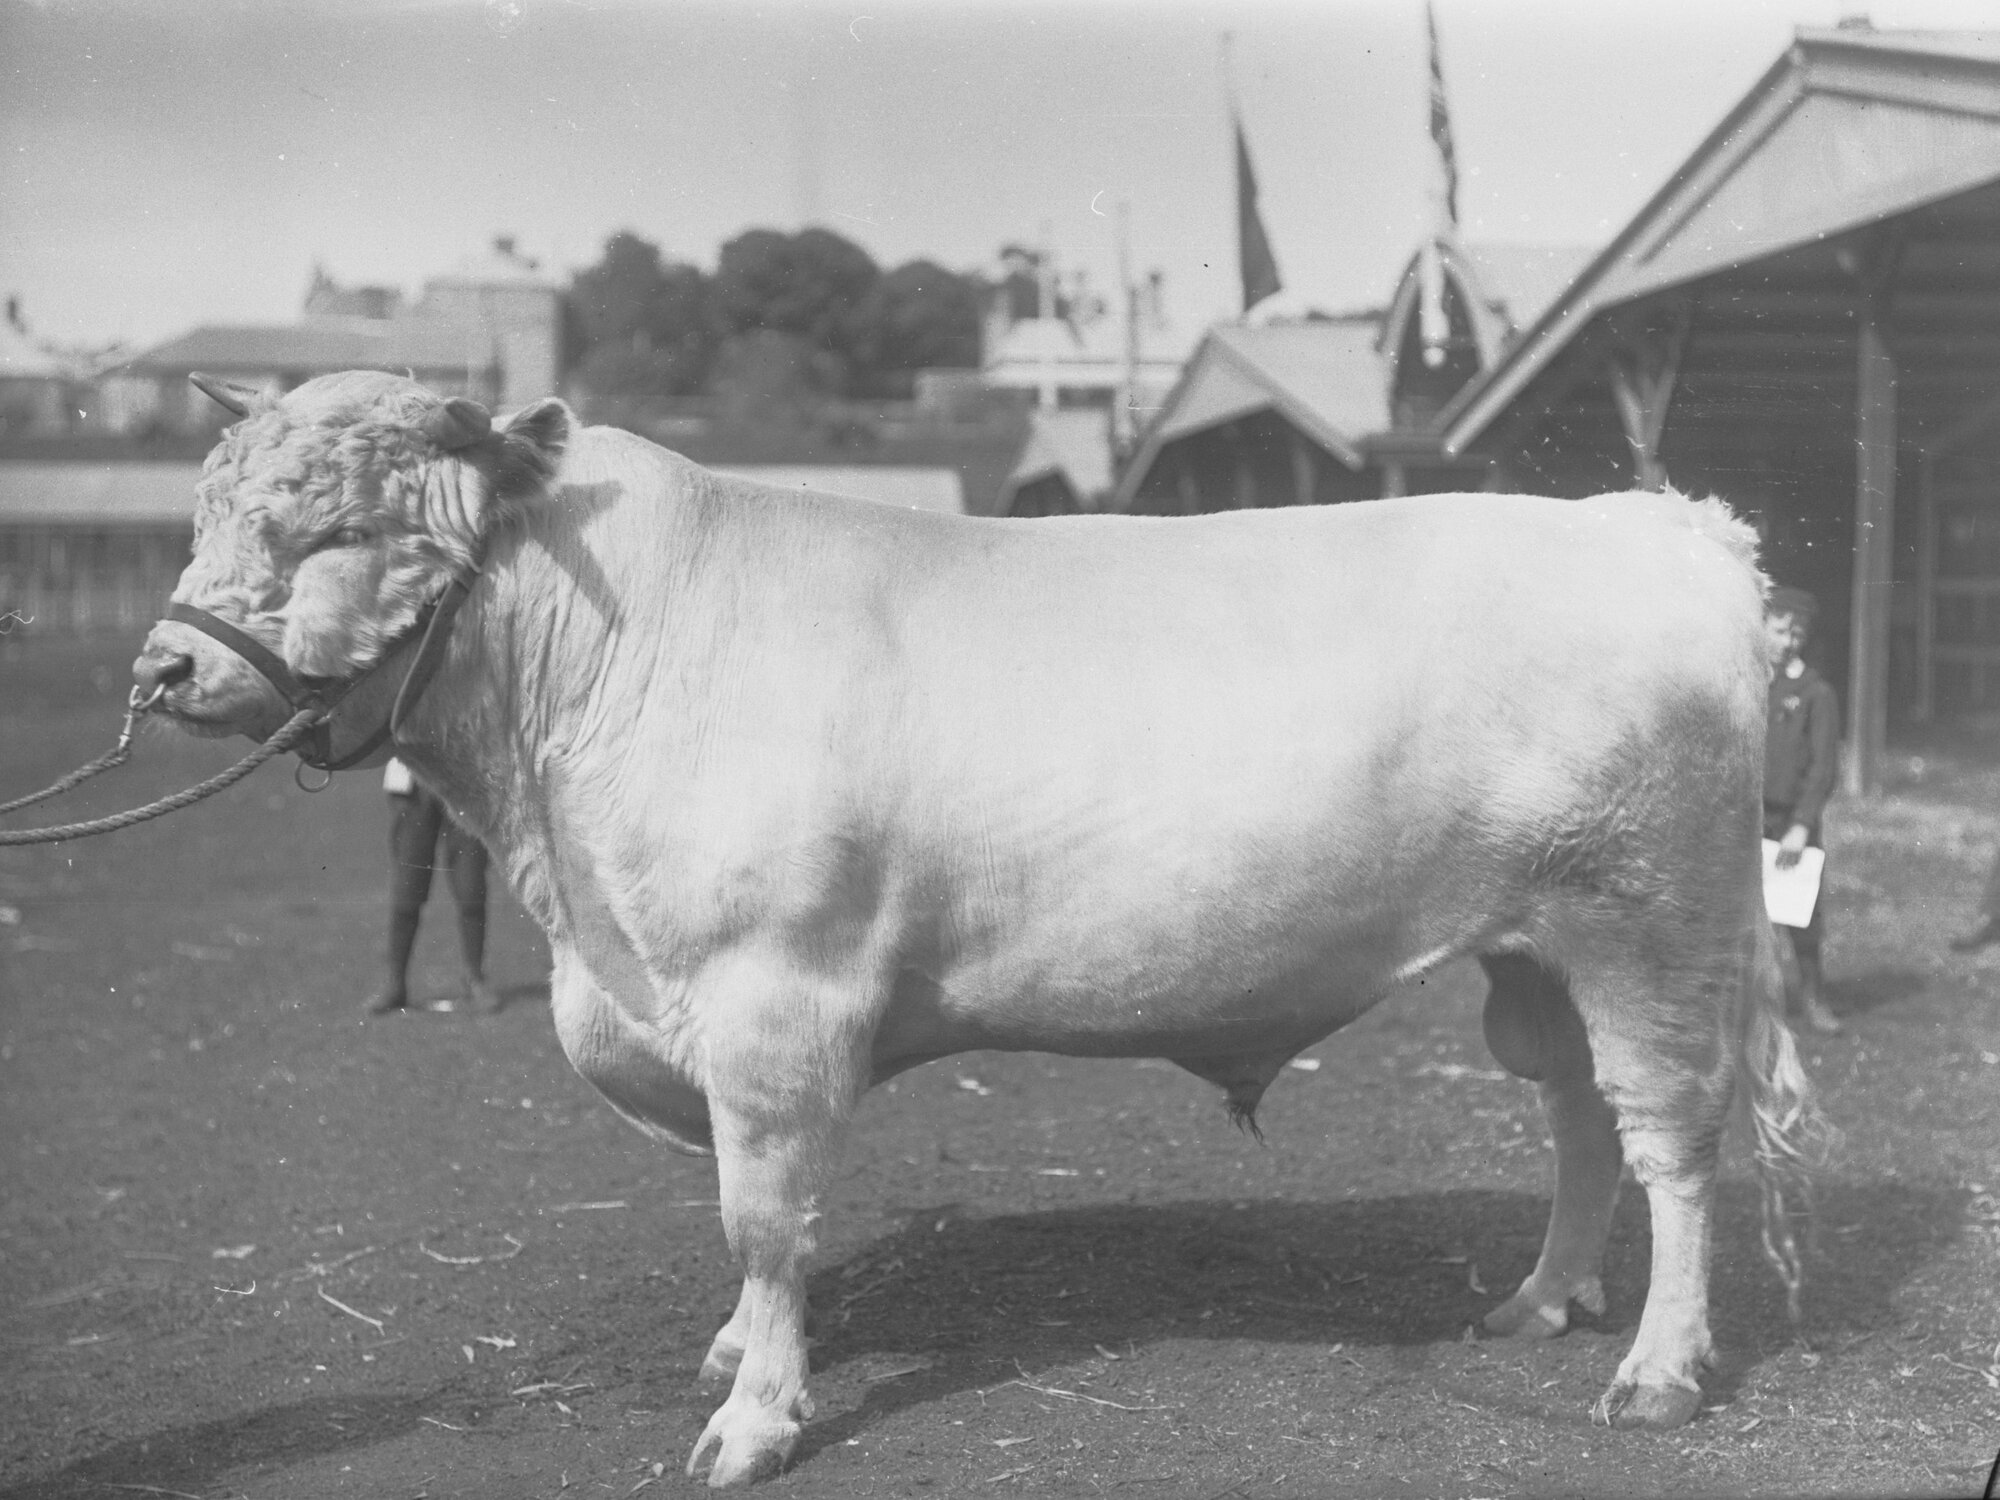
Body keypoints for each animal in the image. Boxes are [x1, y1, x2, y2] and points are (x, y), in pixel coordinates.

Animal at [134, 370, 1818, 1487]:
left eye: (332, 526)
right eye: (208, 510)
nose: (159, 671)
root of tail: (1662, 525)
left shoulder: (771, 1001)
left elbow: (763, 1218)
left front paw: (752, 1418)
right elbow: (755, 1228)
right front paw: (741, 1357)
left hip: (1652, 926)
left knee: (1673, 1142)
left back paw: (1656, 1371)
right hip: (1538, 951)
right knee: (1577, 1119)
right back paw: (1539, 1302)